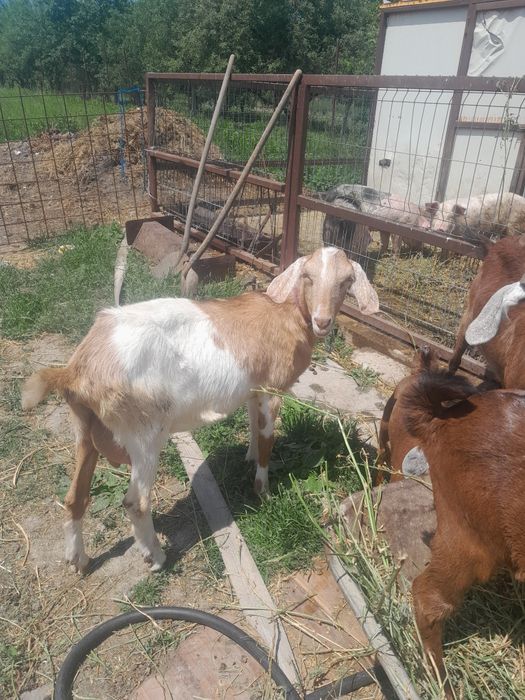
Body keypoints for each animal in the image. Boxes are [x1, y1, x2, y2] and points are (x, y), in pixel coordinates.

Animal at [22, 247, 379, 573]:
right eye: (308, 276)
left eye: (346, 281)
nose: (323, 321)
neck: (286, 314)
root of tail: (76, 370)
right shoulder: (272, 390)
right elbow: (267, 440)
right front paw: (263, 490)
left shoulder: (253, 389)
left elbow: (253, 426)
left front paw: (248, 458)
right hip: (143, 432)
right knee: (136, 503)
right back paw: (156, 558)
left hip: (85, 428)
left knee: (75, 497)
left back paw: (78, 560)